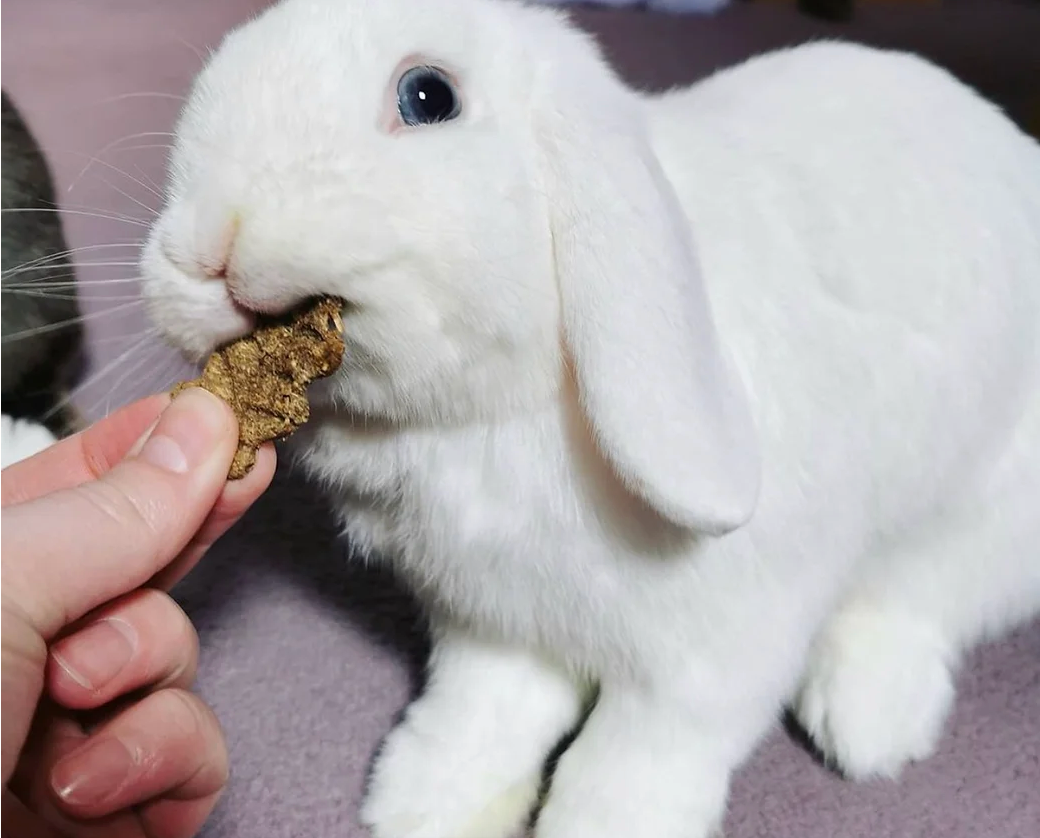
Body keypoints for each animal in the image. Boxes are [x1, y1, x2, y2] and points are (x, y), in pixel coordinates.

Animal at [142, 3, 1040, 835]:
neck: (494, 416)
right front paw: (427, 801)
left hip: (990, 523)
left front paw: (601, 823)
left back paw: (868, 726)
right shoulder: (493, 623)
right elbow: (485, 711)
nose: (207, 245)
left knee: (920, 598)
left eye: (427, 95)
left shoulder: (713, 660)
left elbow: (637, 755)